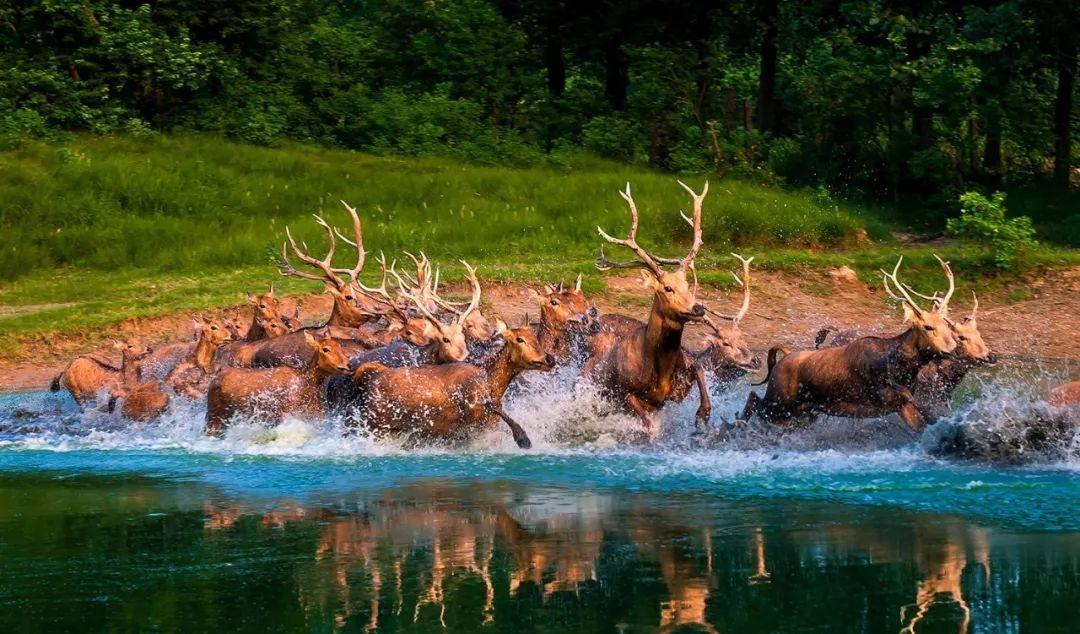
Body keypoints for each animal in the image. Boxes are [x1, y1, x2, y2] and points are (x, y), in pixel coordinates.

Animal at [204, 328, 352, 436]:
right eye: (325, 349)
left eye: (340, 347)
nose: (347, 365)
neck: (309, 385)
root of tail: (217, 374)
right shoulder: (285, 416)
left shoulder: (317, 417)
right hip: (213, 415)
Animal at [345, 321, 552, 451]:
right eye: (519, 339)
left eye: (535, 337)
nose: (550, 359)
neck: (491, 384)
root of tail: (372, 375)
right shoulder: (470, 426)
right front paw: (524, 439)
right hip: (376, 427)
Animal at [578, 178, 712, 436]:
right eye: (667, 288)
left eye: (687, 285)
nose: (698, 308)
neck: (660, 371)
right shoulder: (626, 392)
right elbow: (649, 426)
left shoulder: (677, 388)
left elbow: (699, 367)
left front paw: (703, 413)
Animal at [738, 257, 959, 432]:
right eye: (928, 327)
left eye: (947, 324)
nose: (952, 349)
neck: (902, 368)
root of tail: (783, 356)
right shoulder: (887, 396)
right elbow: (929, 413)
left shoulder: (899, 404)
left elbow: (924, 424)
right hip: (779, 399)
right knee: (753, 397)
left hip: (800, 410)